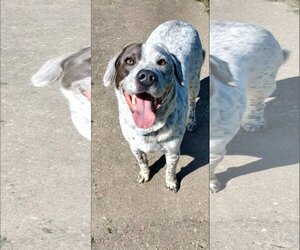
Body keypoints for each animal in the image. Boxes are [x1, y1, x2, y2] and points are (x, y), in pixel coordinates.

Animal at [102, 20, 204, 192]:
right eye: (129, 61)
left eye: (162, 62)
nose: (147, 76)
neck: (149, 128)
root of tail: (181, 21)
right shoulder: (135, 147)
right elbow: (142, 162)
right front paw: (144, 174)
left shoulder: (173, 151)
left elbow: (170, 170)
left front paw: (171, 182)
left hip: (194, 82)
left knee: (192, 103)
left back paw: (191, 121)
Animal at [210, 21, 290, 193]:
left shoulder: (215, 146)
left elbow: (210, 165)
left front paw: (212, 184)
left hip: (262, 83)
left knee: (256, 102)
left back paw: (253, 122)